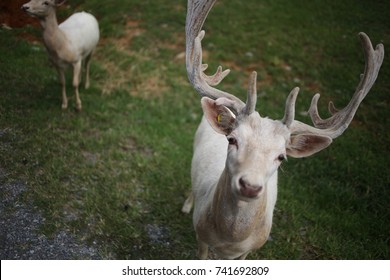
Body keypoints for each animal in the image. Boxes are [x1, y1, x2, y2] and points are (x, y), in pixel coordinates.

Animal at [183, 0, 384, 260]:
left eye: (281, 156)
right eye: (232, 140)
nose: (250, 186)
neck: (229, 242)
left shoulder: (248, 251)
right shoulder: (202, 236)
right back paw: (187, 205)